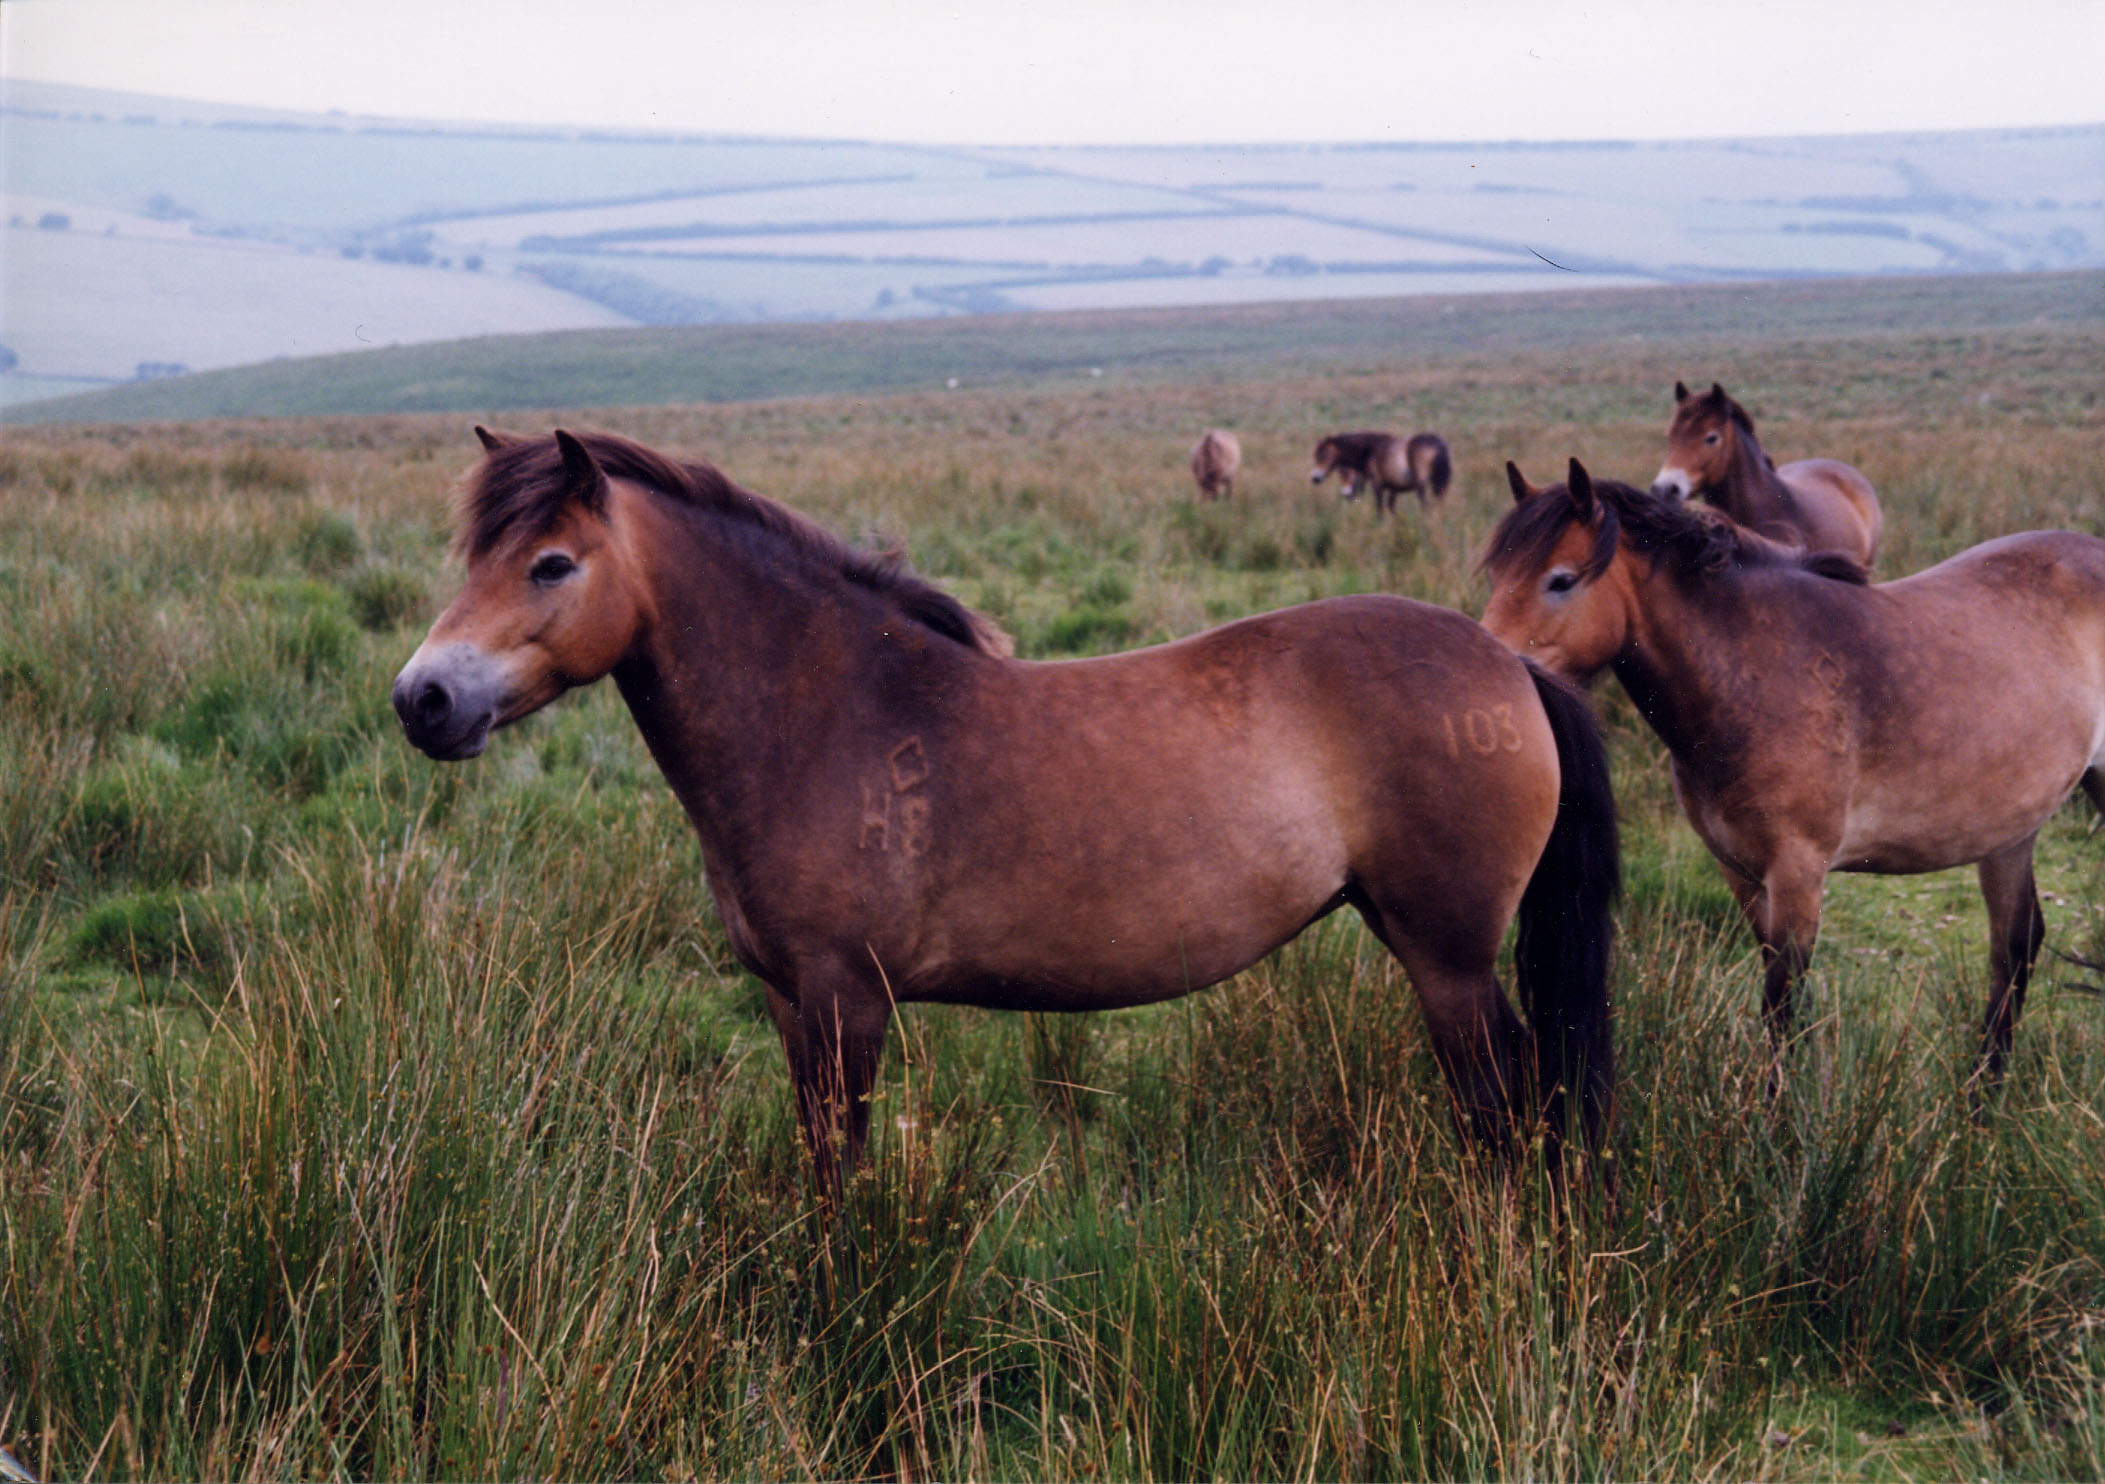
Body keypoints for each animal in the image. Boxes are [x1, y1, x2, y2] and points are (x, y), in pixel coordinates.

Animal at [1305, 429, 1456, 515]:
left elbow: (1380, 509)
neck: (1370, 450)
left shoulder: (1377, 485)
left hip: (1422, 486)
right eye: (1316, 455)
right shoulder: (1394, 489)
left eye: (1323, 455)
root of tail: (1438, 444)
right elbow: (1391, 507)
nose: (1314, 478)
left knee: (1426, 506)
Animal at [1481, 456, 2105, 1086]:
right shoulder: (1741, 872)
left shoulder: (1799, 873)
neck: (1755, 672)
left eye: (1560, 580)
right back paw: (1983, 1093)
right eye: (1496, 576)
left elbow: (1782, 1005)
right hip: (2010, 832)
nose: (1500, 674)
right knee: (2015, 947)